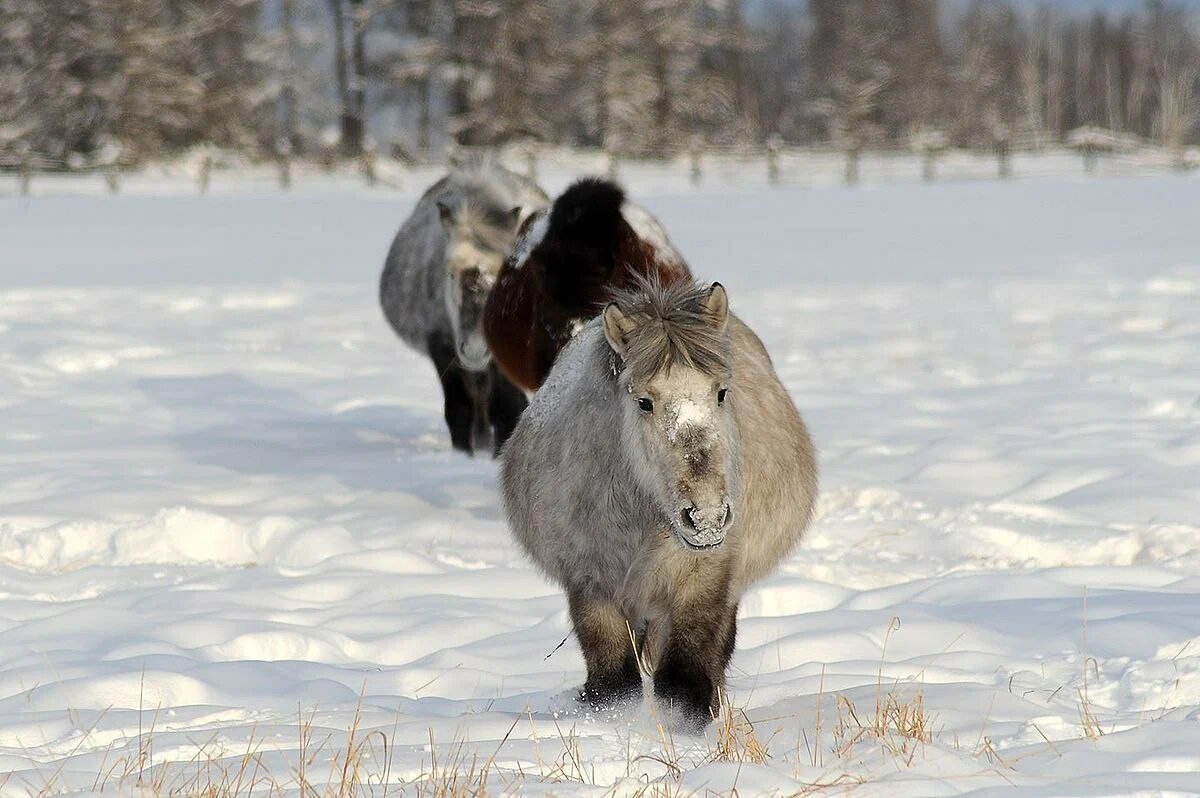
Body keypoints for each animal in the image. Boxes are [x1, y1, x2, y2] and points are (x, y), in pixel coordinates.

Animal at [379, 158, 549, 453]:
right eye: (449, 272)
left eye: (508, 270)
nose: (476, 348)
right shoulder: (441, 346)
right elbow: (458, 410)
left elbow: (508, 410)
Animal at [496, 276, 816, 729]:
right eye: (644, 401)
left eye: (721, 393)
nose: (706, 517)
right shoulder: (590, 583)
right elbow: (613, 683)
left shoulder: (704, 580)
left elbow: (685, 683)